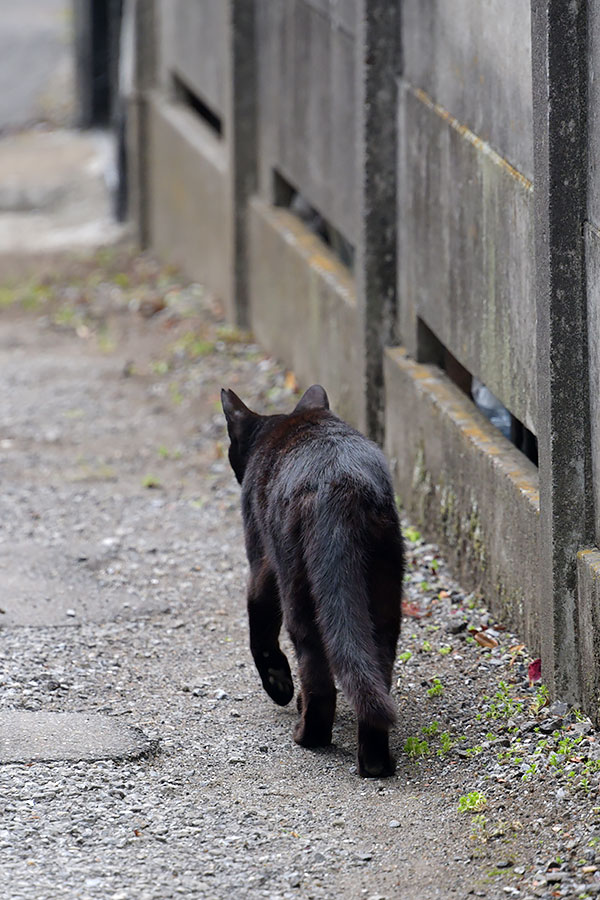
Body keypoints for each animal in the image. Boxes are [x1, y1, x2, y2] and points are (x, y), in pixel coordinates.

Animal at [223, 384, 406, 776]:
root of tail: (338, 483)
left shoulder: (261, 564)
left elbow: (260, 631)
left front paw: (279, 686)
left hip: (296, 588)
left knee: (317, 673)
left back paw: (308, 736)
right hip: (384, 591)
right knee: (374, 663)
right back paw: (376, 763)